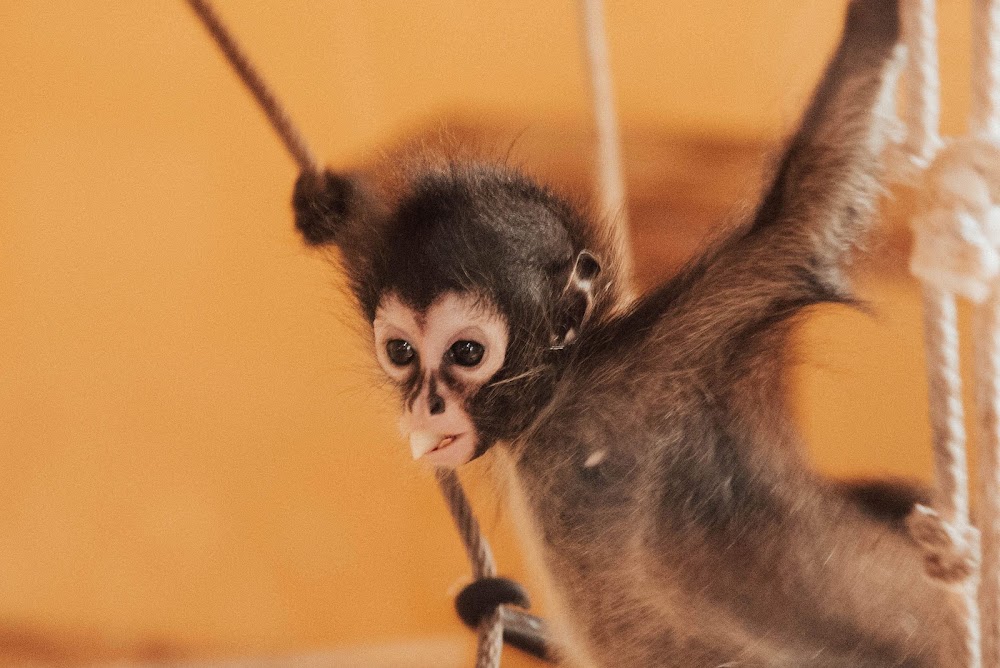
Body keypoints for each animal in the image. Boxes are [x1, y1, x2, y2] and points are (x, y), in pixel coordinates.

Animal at [288, 0, 952, 665]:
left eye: (467, 352)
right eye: (400, 351)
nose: (424, 403)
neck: (556, 408)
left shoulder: (656, 357)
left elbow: (799, 217)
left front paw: (876, 19)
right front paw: (335, 208)